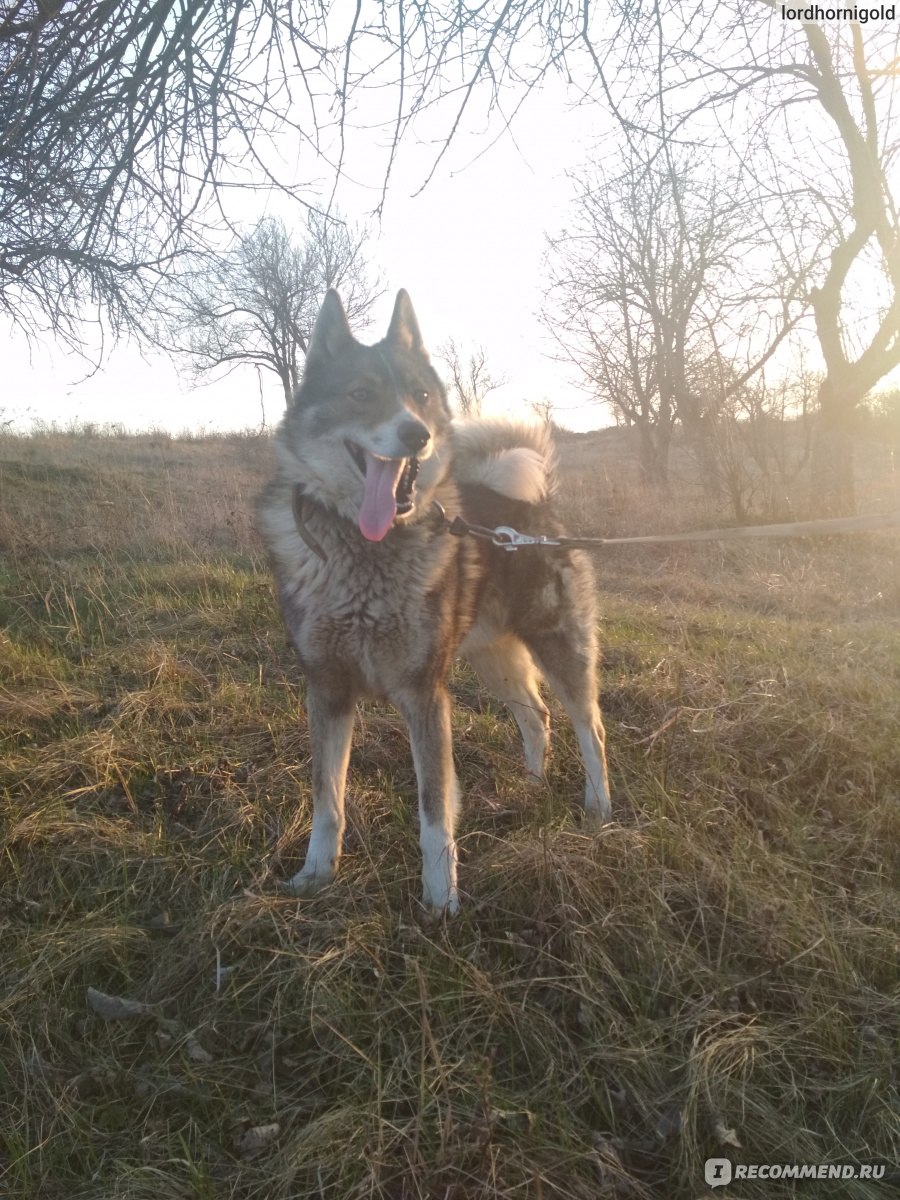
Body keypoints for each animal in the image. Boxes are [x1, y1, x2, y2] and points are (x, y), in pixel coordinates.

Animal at [260, 288, 614, 907]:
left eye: (421, 397)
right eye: (361, 394)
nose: (416, 434)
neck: (367, 550)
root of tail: (533, 506)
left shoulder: (425, 695)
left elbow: (433, 808)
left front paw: (440, 897)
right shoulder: (327, 690)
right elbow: (328, 798)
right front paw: (317, 872)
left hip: (558, 646)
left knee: (589, 728)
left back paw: (600, 810)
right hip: (493, 658)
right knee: (538, 717)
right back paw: (531, 784)